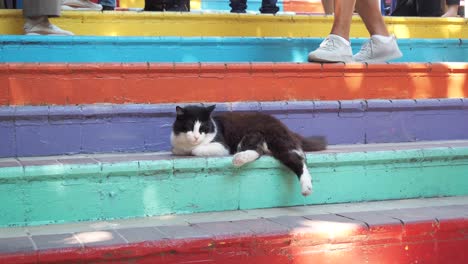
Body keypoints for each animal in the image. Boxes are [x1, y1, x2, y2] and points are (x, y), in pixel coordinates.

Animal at [170, 104, 328, 196]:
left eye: (203, 128)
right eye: (190, 126)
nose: (196, 137)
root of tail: (284, 126)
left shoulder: (222, 146)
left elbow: (196, 150)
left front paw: (194, 148)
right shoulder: (176, 147)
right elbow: (177, 150)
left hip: (273, 140)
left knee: (298, 160)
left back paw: (306, 188)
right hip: (255, 138)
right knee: (258, 151)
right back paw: (239, 159)